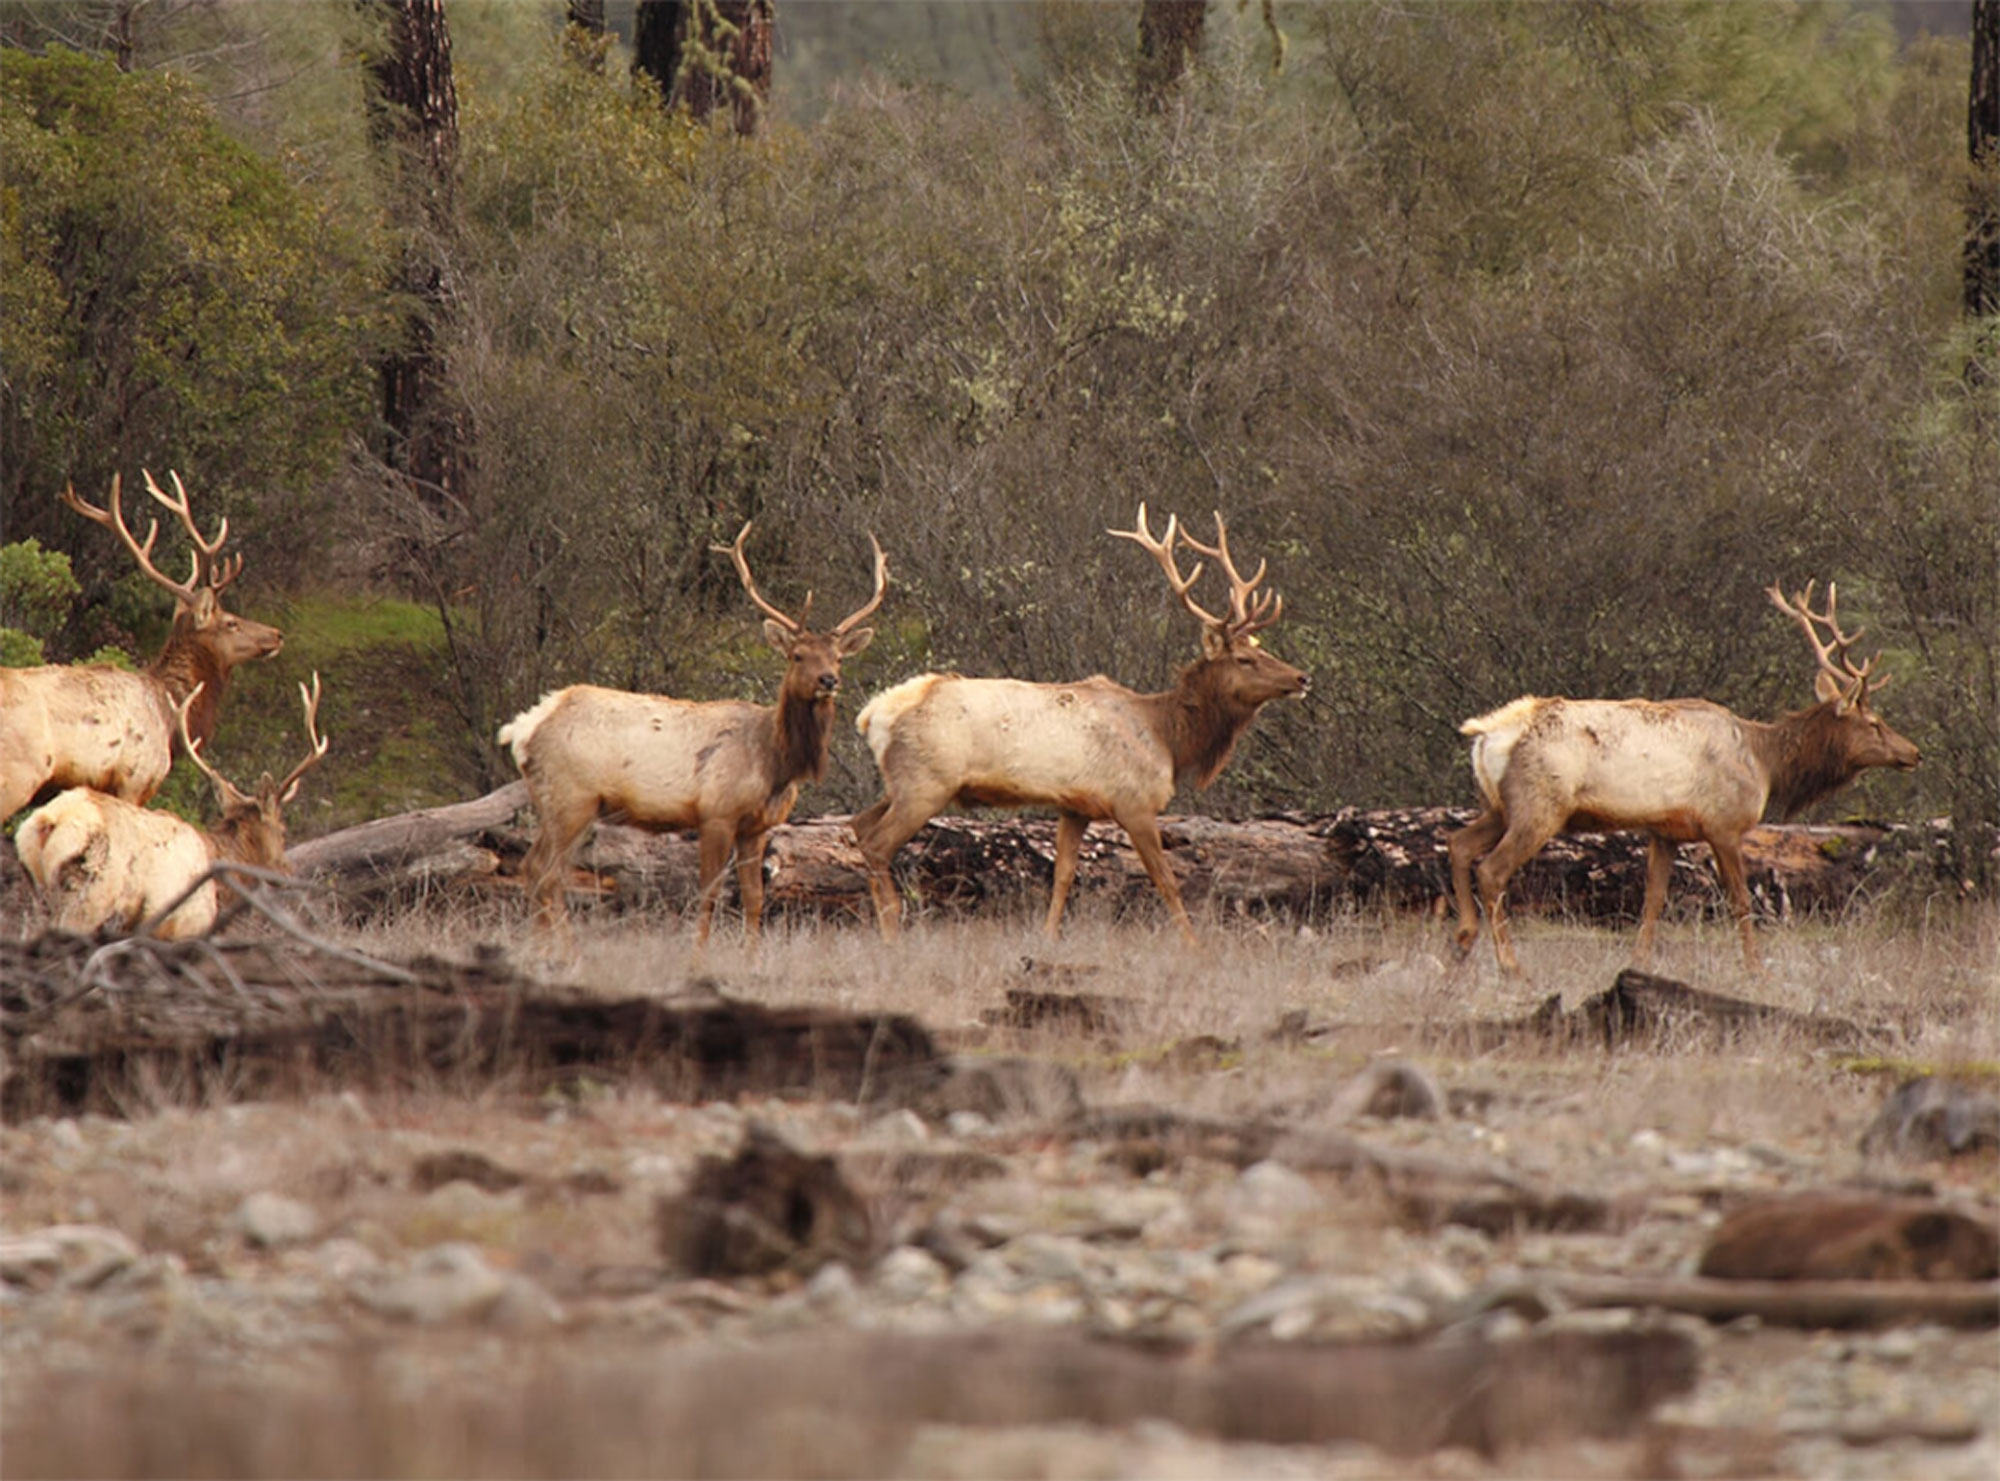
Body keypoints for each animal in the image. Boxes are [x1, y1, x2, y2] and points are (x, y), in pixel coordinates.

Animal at [17, 672, 332, 936]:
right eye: (282, 829)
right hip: (89, 899)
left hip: (37, 891)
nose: (288, 872)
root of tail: (50, 821)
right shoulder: (186, 925)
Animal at [498, 520, 884, 936]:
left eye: (839, 657)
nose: (829, 680)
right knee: (540, 870)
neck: (775, 761)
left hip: (560, 802)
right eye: (797, 655)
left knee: (543, 873)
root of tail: (524, 728)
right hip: (570, 797)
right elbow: (708, 894)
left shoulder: (756, 827)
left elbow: (754, 899)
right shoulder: (715, 813)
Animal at [856, 506, 1312, 948]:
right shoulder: (1134, 802)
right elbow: (1167, 881)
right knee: (877, 845)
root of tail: (874, 713)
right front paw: (1196, 948)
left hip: (900, 783)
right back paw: (892, 933)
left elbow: (1063, 877)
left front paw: (1046, 940)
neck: (1169, 738)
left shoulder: (1075, 807)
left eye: (1261, 651)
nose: (1303, 677)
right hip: (925, 783)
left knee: (858, 828)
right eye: (1245, 660)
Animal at [1456, 580, 1920, 984]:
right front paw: (1757, 970)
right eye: (1874, 722)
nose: (1914, 752)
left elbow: (1652, 901)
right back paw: (1510, 966)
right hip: (1539, 805)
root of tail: (1486, 735)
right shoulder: (1724, 824)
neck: (1764, 763)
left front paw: (1637, 964)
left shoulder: (1665, 832)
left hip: (1498, 807)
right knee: (1492, 870)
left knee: (1457, 843)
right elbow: (1740, 901)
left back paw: (1461, 943)